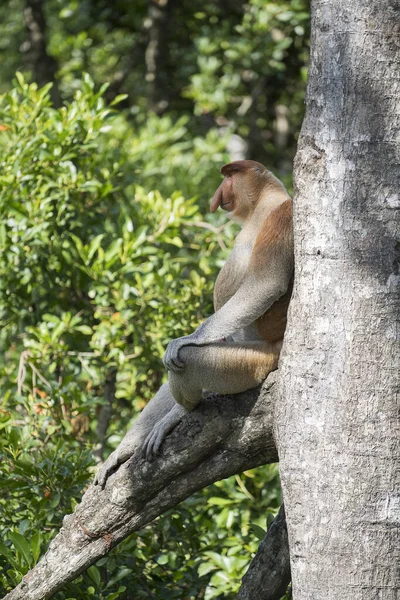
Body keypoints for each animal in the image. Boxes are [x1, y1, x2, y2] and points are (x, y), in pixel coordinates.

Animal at [94, 162, 294, 490]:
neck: (262, 205)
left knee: (187, 362)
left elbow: (266, 283)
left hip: (254, 359)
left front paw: (185, 339)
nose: (217, 195)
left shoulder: (284, 215)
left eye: (229, 176)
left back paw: (180, 412)